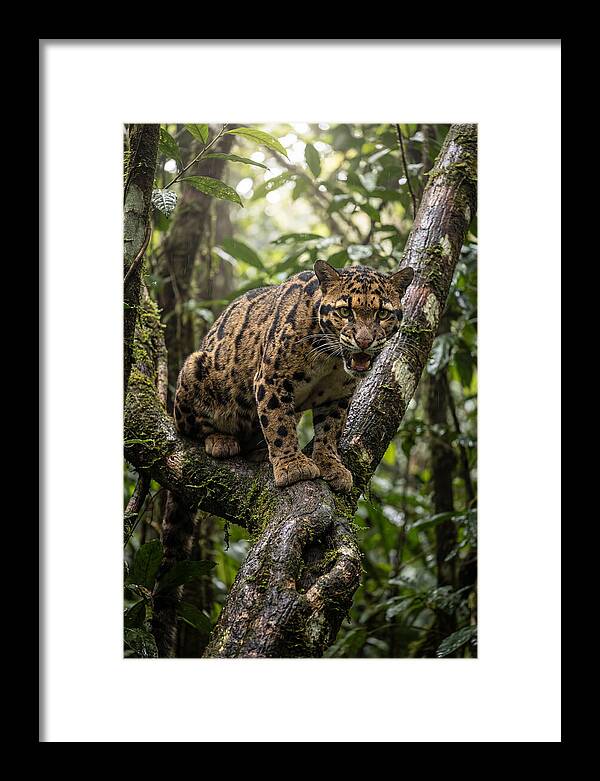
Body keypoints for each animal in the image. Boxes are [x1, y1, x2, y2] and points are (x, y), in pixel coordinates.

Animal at [174, 260, 414, 493]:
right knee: (191, 429)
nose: (364, 341)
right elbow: (279, 423)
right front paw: (293, 466)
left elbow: (330, 430)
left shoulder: (338, 395)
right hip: (194, 367)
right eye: (345, 312)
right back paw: (221, 440)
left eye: (382, 314)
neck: (331, 360)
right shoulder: (271, 379)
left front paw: (331, 464)